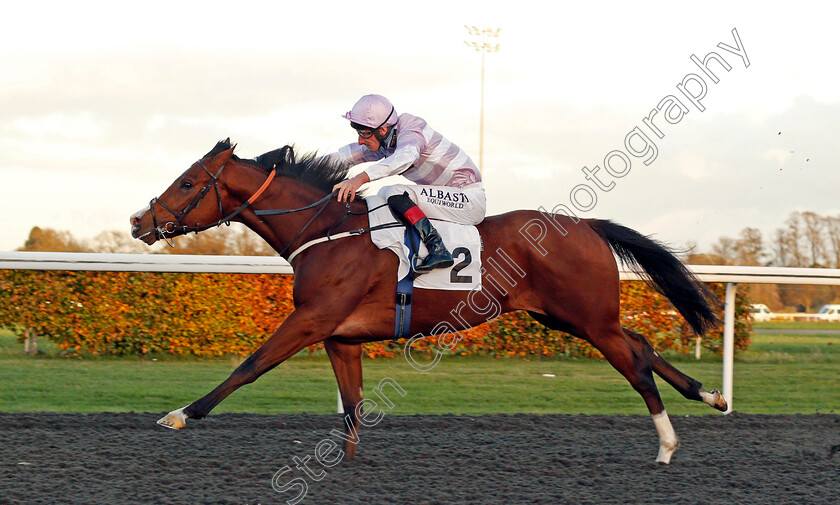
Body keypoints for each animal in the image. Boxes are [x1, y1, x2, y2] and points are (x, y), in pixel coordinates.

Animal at [128, 140, 724, 462]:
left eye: (187, 184)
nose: (138, 221)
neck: (327, 231)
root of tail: (588, 226)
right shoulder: (341, 336)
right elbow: (352, 404)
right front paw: (344, 463)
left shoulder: (312, 320)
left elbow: (249, 366)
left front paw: (180, 414)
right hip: (567, 317)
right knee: (641, 342)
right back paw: (710, 394)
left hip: (587, 317)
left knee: (634, 365)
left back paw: (667, 443)